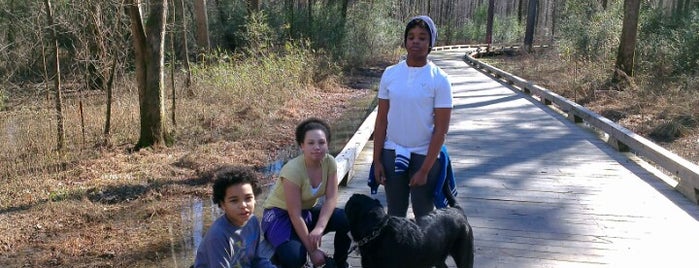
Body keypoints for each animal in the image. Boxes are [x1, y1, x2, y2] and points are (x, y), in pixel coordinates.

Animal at [344, 194, 476, 266]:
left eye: (351, 202)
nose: (351, 196)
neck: (378, 230)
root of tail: (457, 210)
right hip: (437, 258)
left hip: (464, 257)